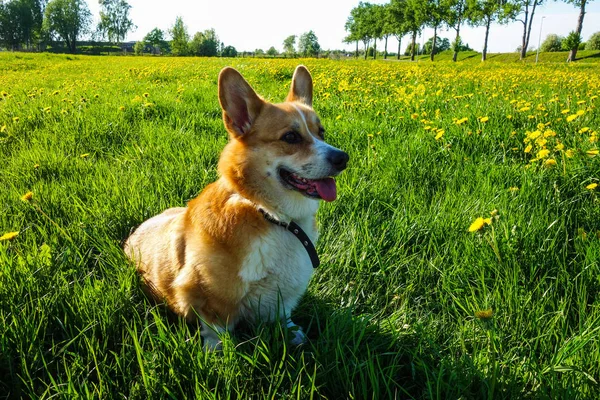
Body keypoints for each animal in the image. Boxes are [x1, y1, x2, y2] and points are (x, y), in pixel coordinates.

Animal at [124, 65, 350, 350]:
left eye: (321, 132)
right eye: (290, 137)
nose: (343, 158)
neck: (270, 214)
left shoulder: (282, 295)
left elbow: (283, 314)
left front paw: (292, 333)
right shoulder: (207, 296)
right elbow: (217, 328)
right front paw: (219, 351)